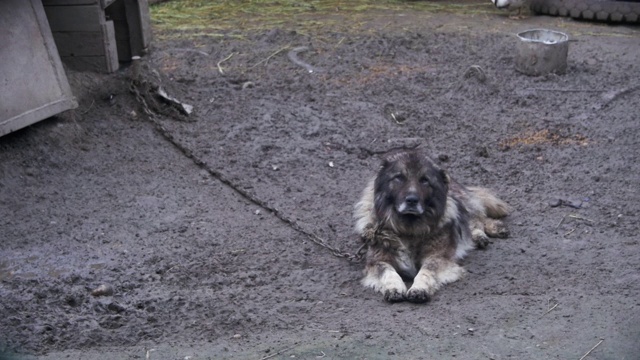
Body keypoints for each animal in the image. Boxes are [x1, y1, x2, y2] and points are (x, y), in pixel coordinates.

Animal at [352, 150, 508, 304]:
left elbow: (426, 271)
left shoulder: (437, 257)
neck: (408, 228)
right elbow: (388, 272)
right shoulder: (377, 260)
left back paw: (489, 231)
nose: (412, 200)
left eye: (424, 180)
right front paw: (394, 288)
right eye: (399, 177)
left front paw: (419, 289)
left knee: (477, 218)